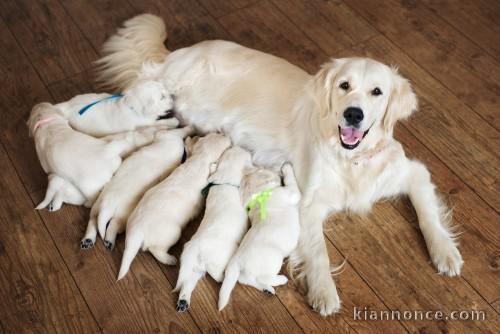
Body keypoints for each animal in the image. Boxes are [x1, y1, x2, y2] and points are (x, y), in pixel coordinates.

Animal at [117, 133, 232, 280]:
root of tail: (136, 230)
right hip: (174, 233)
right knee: (155, 250)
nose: (224, 133)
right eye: (222, 137)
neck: (200, 158)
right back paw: (170, 259)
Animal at [176, 146, 254, 314]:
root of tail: (195, 247)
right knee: (218, 277)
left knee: (187, 282)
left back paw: (183, 301)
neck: (225, 181)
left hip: (194, 267)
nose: (248, 149)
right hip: (219, 261)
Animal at [219, 164, 300, 310]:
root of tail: (236, 260)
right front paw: (287, 167)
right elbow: (292, 181)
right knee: (264, 278)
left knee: (248, 280)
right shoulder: (291, 193)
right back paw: (281, 280)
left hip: (246, 274)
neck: (260, 195)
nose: (278, 170)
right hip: (274, 258)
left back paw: (267, 289)